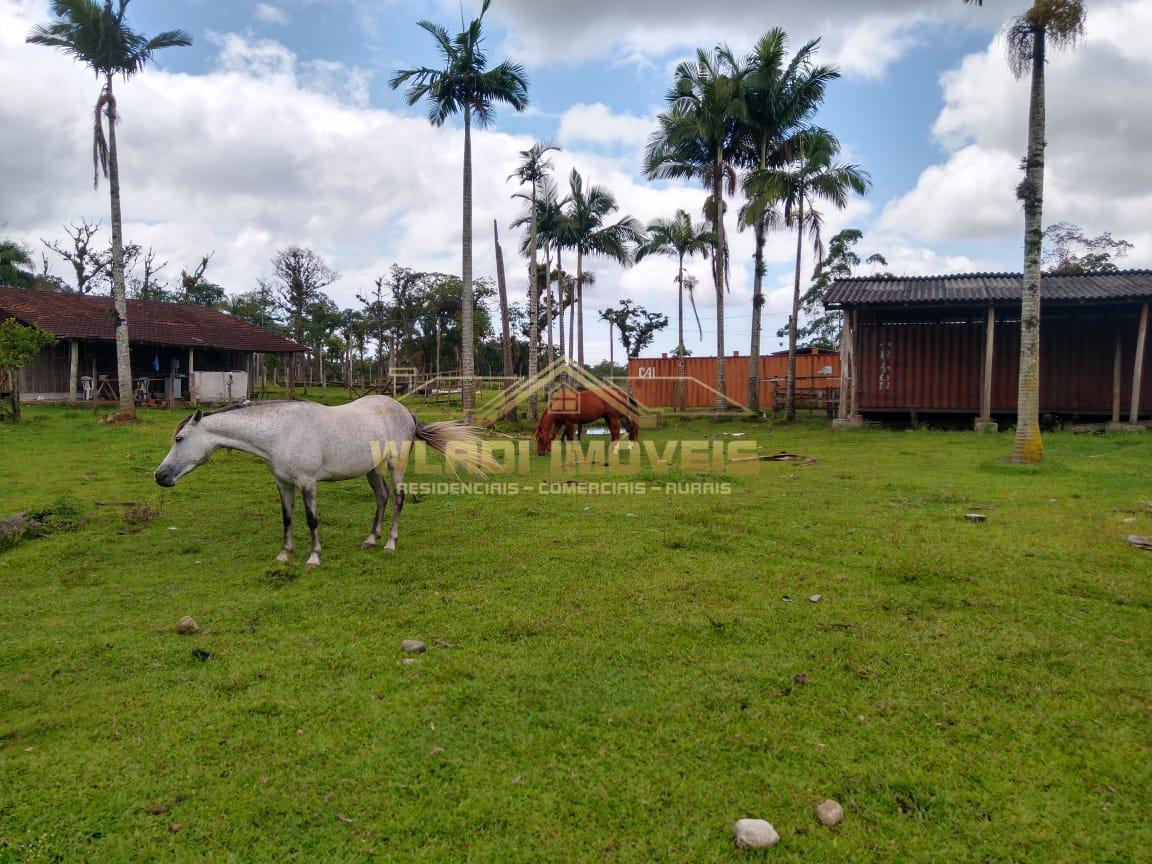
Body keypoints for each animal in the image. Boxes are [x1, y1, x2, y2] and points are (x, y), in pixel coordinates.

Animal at [155, 398, 488, 569]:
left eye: (179, 438)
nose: (160, 476)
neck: (281, 431)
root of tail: (404, 410)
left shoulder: (307, 483)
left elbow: (311, 519)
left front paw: (314, 556)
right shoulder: (283, 483)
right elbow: (287, 518)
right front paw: (284, 553)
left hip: (396, 464)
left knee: (397, 499)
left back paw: (390, 543)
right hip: (371, 469)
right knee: (381, 497)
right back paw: (371, 538)